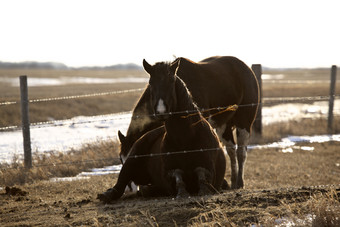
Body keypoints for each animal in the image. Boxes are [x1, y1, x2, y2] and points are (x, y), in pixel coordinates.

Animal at [97, 60, 226, 202]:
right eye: (150, 82)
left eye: (171, 81)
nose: (161, 111)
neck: (186, 137)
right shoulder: (169, 174)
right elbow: (178, 177)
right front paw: (182, 192)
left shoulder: (209, 170)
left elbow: (202, 177)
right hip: (132, 160)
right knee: (121, 184)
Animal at [118, 55, 258, 189]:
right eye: (121, 159)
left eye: (171, 81)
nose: (133, 189)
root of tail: (246, 68)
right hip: (224, 126)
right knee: (231, 150)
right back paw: (233, 182)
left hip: (244, 122)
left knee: (241, 152)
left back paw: (239, 183)